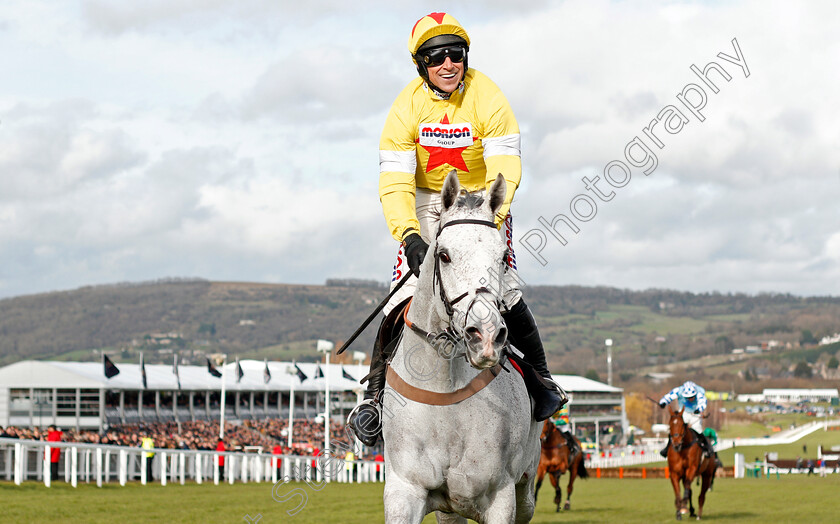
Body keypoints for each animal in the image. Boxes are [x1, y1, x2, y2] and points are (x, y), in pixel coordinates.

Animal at [378, 172, 540, 524]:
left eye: (502, 258)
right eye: (444, 255)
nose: (486, 336)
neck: (445, 389)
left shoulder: (501, 496)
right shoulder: (404, 489)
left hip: (527, 487)